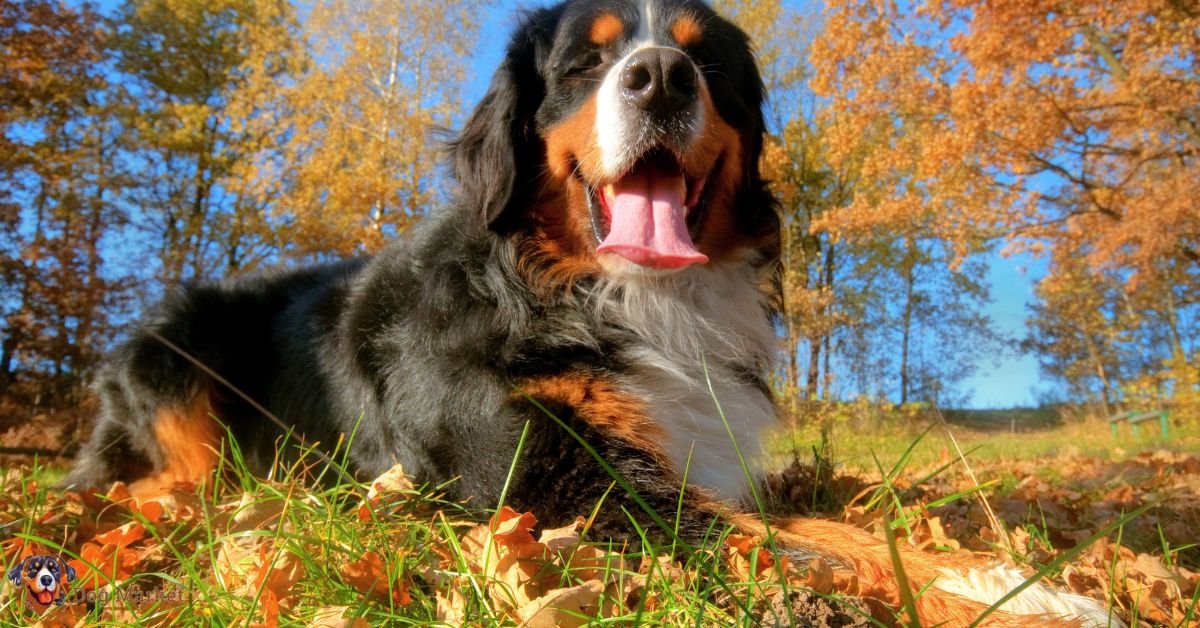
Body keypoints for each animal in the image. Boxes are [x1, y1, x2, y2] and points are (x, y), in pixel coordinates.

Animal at [63, 0, 1113, 624]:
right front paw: (1017, 594)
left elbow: (831, 518)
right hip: (175, 358)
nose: (660, 78)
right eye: (585, 63)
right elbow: (795, 540)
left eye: (705, 62)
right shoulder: (543, 477)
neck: (630, 296)